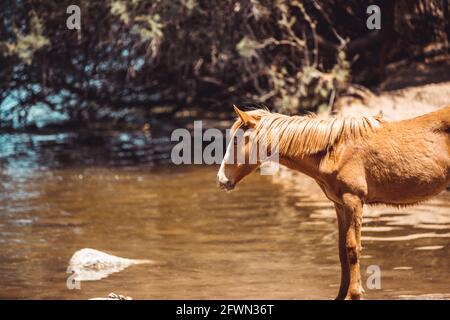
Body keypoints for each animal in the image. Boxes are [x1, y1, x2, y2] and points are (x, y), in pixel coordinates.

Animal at [216, 105, 448, 300]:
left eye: (236, 141)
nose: (221, 179)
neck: (334, 151)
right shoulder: (339, 205)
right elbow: (341, 251)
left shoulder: (354, 200)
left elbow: (353, 248)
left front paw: (354, 294)